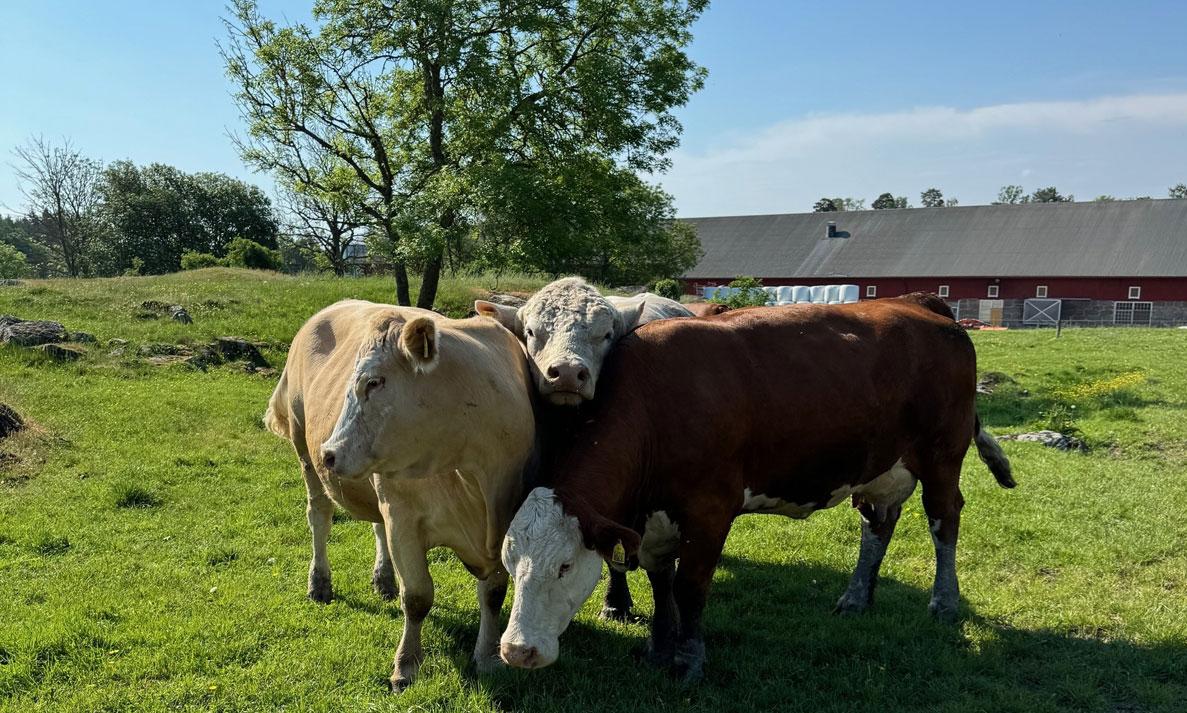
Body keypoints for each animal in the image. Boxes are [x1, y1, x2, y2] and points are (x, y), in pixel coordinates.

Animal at [267, 300, 536, 688]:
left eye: (374, 382)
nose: (330, 453)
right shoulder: (405, 520)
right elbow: (418, 596)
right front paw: (406, 666)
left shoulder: (504, 521)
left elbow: (494, 593)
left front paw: (487, 657)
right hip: (305, 449)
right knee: (319, 517)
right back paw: (320, 582)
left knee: (376, 525)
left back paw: (383, 580)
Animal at [496, 293, 1016, 678]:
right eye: (509, 563)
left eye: (565, 566)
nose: (517, 650)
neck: (656, 402)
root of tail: (920, 304)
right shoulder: (655, 519)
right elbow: (662, 583)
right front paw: (659, 648)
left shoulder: (710, 508)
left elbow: (690, 585)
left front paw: (689, 660)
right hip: (879, 466)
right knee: (878, 525)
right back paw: (855, 598)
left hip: (942, 454)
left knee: (944, 519)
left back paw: (944, 602)